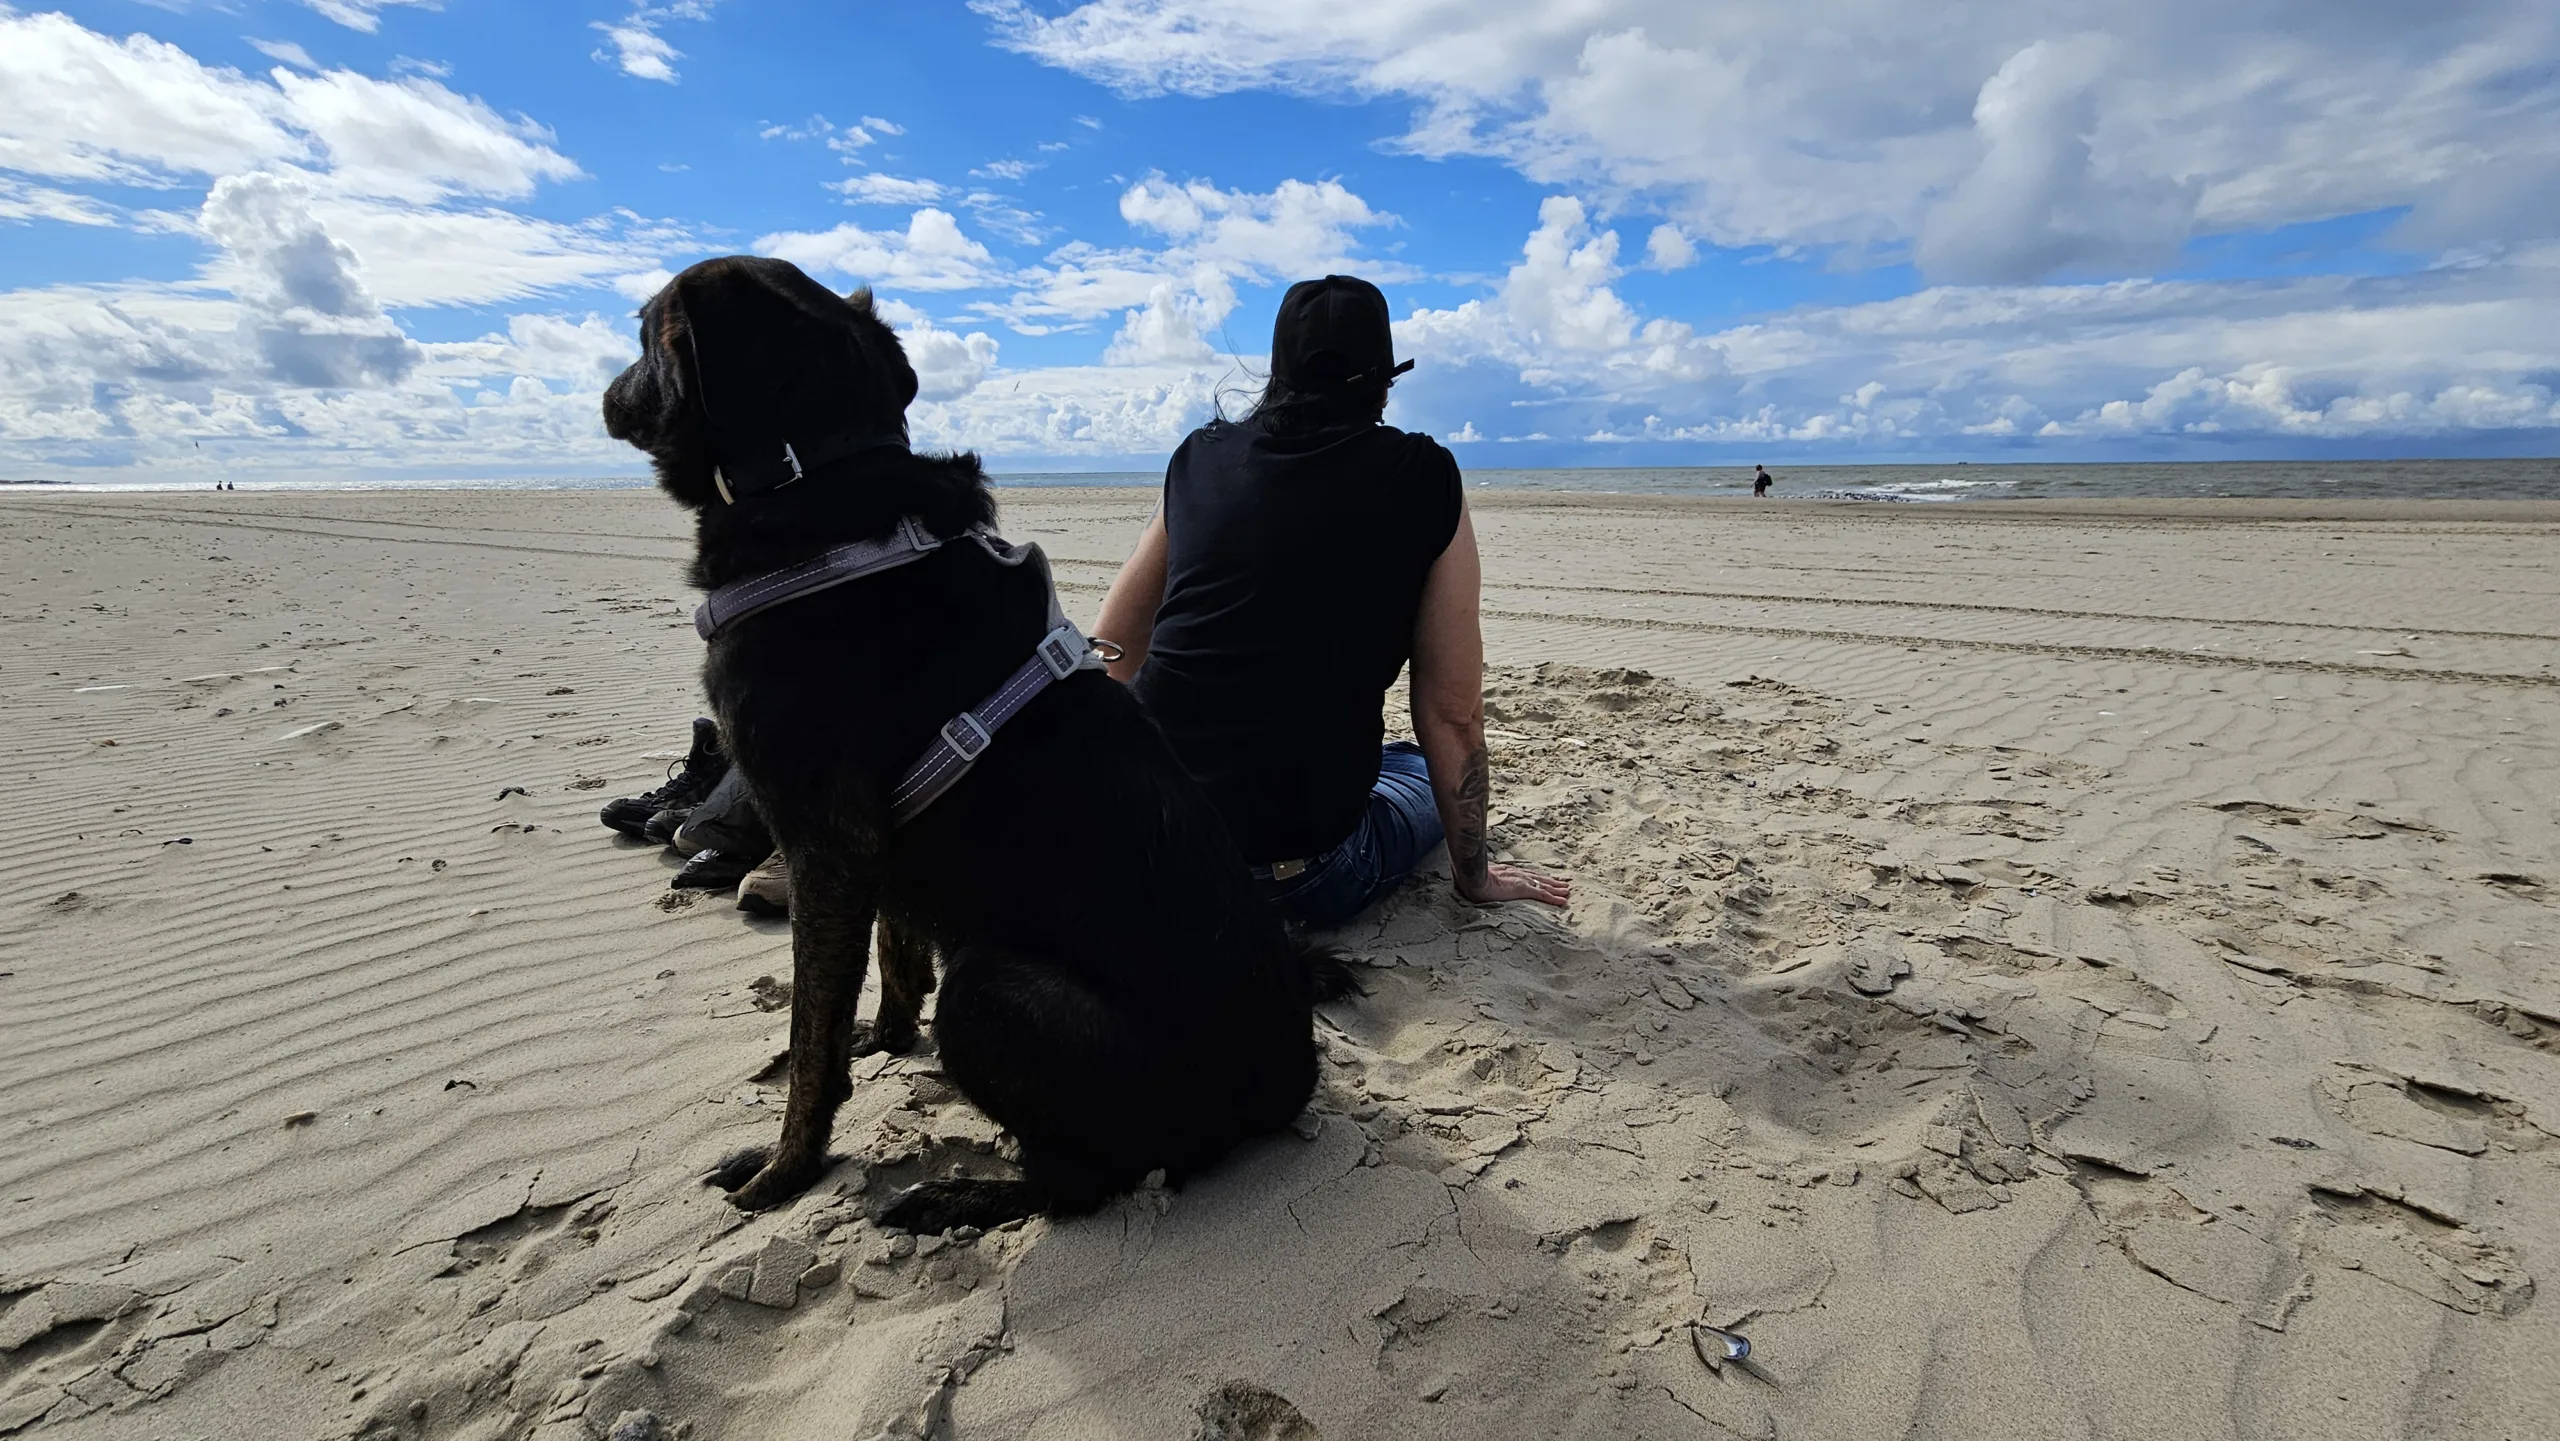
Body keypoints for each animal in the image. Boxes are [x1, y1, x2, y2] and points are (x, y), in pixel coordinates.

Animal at [602, 255, 1350, 1230]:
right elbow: (889, 955)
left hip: (989, 990)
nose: (606, 393)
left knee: (1083, 1180)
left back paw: (952, 1195)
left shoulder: (824, 845)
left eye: (644, 330)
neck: (816, 476)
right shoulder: (873, 847)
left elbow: (809, 1042)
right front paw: (885, 1039)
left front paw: (782, 1173)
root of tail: (1284, 1080)